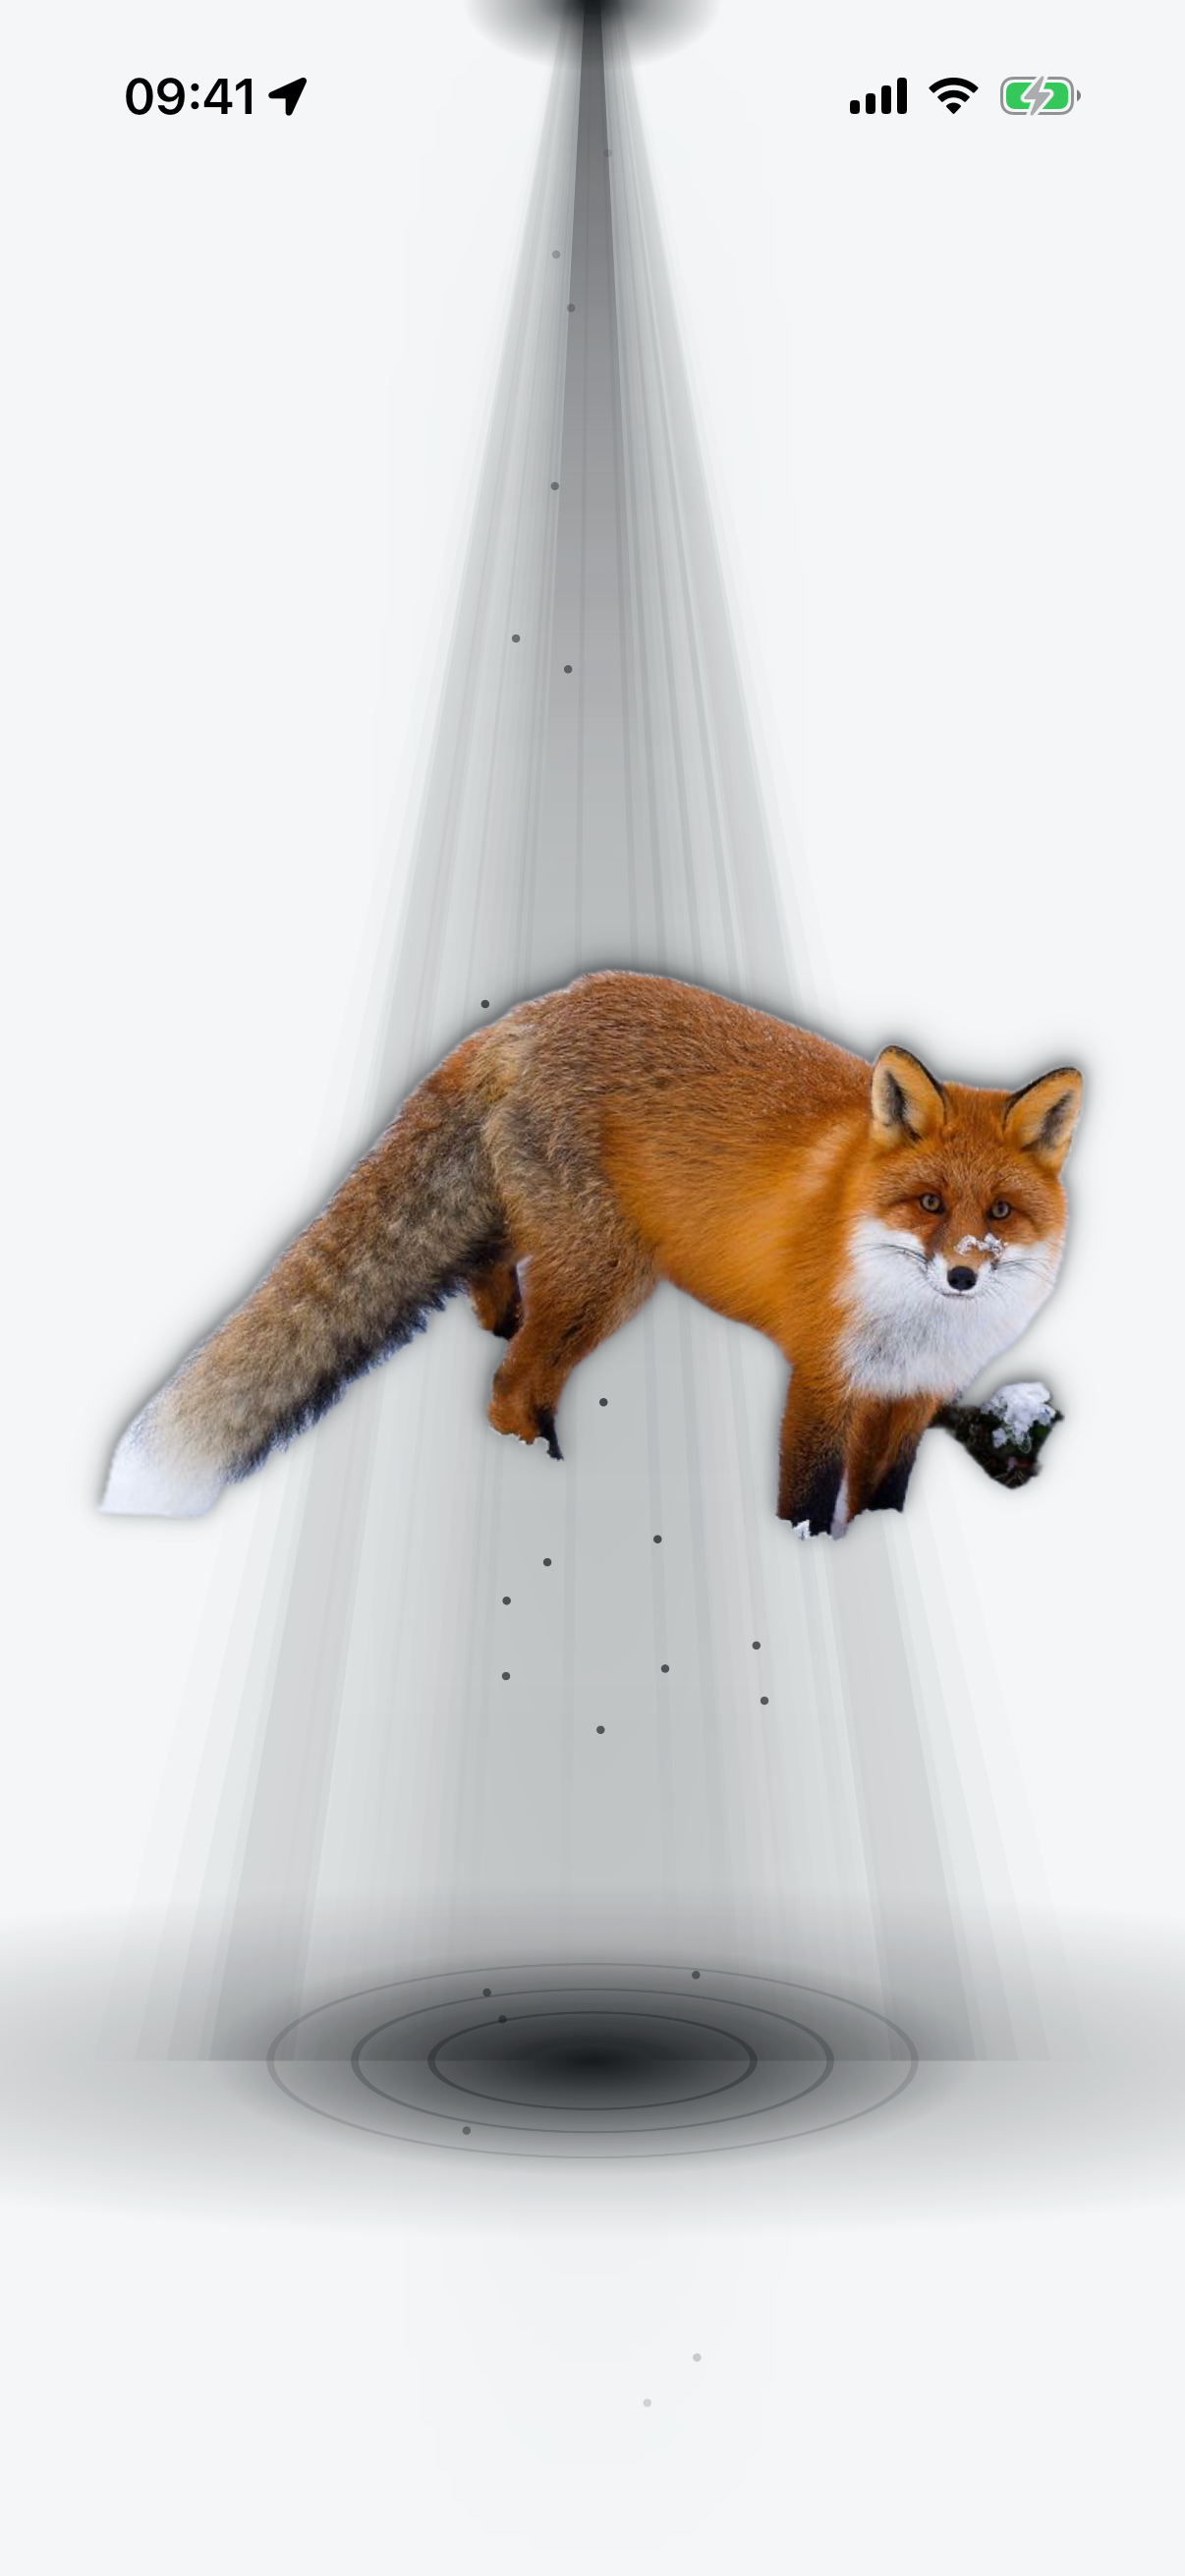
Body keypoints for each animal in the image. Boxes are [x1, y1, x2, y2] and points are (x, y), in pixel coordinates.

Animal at [102, 972, 1082, 1536]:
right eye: (928, 1203)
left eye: (1000, 1210)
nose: (962, 1273)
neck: (914, 1327)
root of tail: (530, 1012)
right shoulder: (822, 1380)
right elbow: (805, 1501)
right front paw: (806, 1562)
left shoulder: (912, 1397)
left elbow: (885, 1498)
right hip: (608, 1276)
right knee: (510, 1387)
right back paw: (541, 1474)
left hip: (555, 1238)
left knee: (487, 1272)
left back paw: (498, 1321)